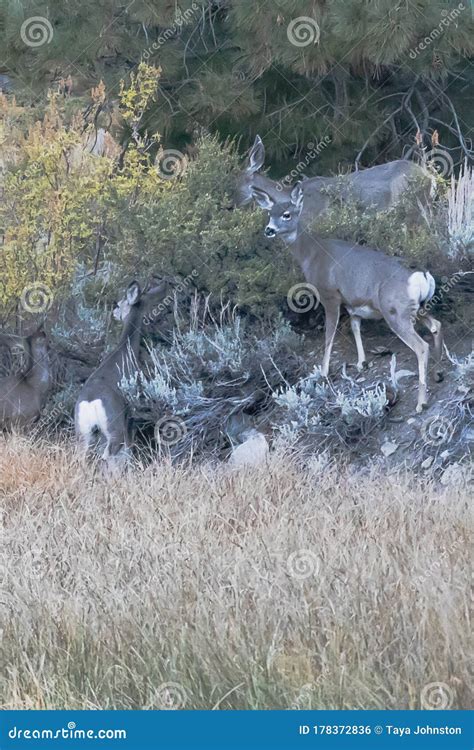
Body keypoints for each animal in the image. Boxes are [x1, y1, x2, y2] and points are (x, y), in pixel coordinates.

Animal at [74, 280, 168, 470]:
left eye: (118, 304)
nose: (114, 312)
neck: (125, 350)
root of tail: (90, 402)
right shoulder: (132, 411)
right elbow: (129, 447)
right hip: (113, 427)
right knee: (110, 454)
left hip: (84, 432)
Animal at [254, 184, 442, 414]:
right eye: (269, 214)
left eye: (286, 214)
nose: (269, 230)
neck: (311, 254)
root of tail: (421, 275)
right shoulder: (353, 304)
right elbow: (355, 327)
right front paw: (361, 362)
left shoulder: (329, 295)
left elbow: (329, 335)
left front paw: (323, 372)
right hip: (419, 307)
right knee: (436, 325)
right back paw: (439, 373)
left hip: (395, 311)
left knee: (421, 346)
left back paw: (420, 403)